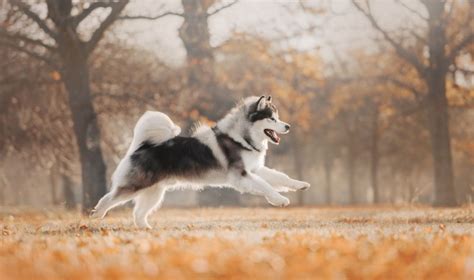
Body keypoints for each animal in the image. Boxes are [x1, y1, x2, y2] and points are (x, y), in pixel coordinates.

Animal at [91, 95, 312, 228]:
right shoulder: (241, 176)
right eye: (272, 119)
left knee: (138, 213)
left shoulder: (255, 169)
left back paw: (146, 229)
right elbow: (266, 185)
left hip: (154, 192)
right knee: (109, 198)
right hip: (137, 185)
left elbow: (281, 177)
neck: (242, 137)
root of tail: (142, 146)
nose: (288, 126)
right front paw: (280, 199)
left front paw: (300, 185)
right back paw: (96, 214)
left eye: (278, 117)